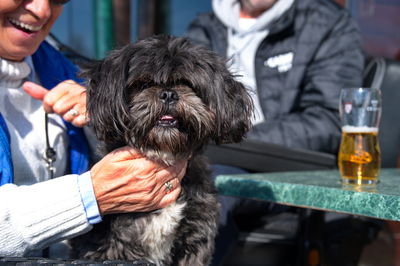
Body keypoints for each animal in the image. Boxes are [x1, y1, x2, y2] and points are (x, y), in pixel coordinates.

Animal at [71, 35, 252, 266]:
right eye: (144, 83)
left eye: (186, 83)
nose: (168, 94)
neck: (162, 152)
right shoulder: (119, 245)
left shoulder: (196, 238)